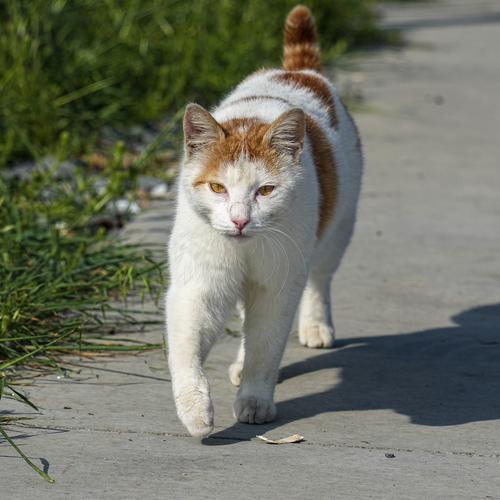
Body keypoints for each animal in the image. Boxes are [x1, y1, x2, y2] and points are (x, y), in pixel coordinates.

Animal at [166, 5, 362, 438]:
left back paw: (315, 326)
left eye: (266, 190)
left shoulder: (278, 287)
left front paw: (255, 401)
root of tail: (300, 71)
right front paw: (196, 411)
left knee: (319, 279)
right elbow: (187, 350)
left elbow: (266, 348)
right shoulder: (198, 285)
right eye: (218, 187)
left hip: (336, 231)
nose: (240, 220)